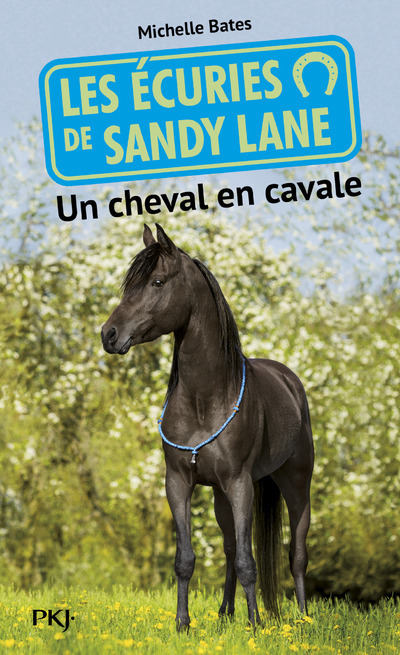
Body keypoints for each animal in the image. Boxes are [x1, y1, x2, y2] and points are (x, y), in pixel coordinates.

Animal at [101, 224, 314, 630]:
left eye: (157, 281)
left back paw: (303, 618)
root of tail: (289, 380)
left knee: (296, 554)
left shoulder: (240, 483)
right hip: (218, 494)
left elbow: (248, 561)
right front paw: (183, 624)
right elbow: (186, 559)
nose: (108, 334)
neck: (205, 400)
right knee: (230, 548)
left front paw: (255, 625)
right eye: (128, 285)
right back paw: (225, 613)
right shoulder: (178, 482)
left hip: (296, 484)